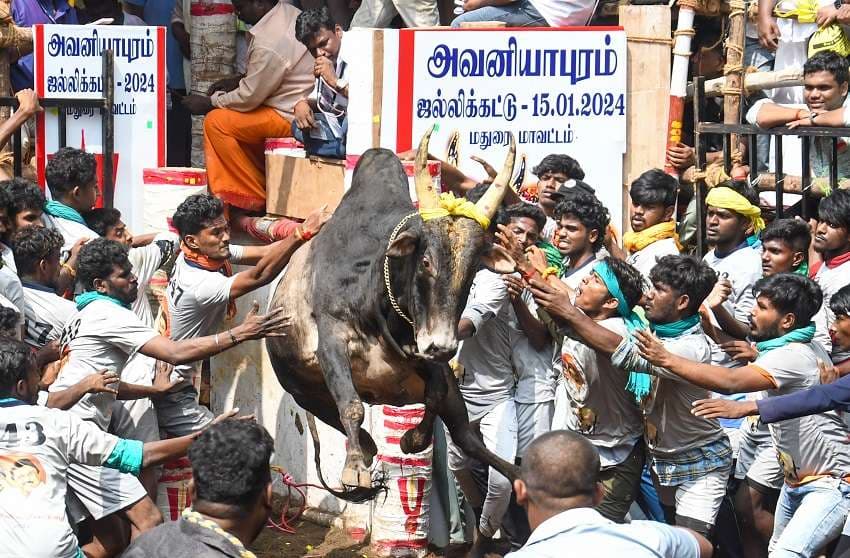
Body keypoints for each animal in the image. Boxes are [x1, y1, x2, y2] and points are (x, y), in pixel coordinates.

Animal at [264, 129, 516, 500]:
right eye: (425, 261)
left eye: (472, 270)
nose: (443, 346)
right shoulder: (332, 340)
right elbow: (352, 406)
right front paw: (355, 468)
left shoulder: (430, 356)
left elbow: (435, 395)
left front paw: (412, 439)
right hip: (305, 392)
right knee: (354, 424)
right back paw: (364, 453)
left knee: (467, 438)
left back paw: (520, 474)